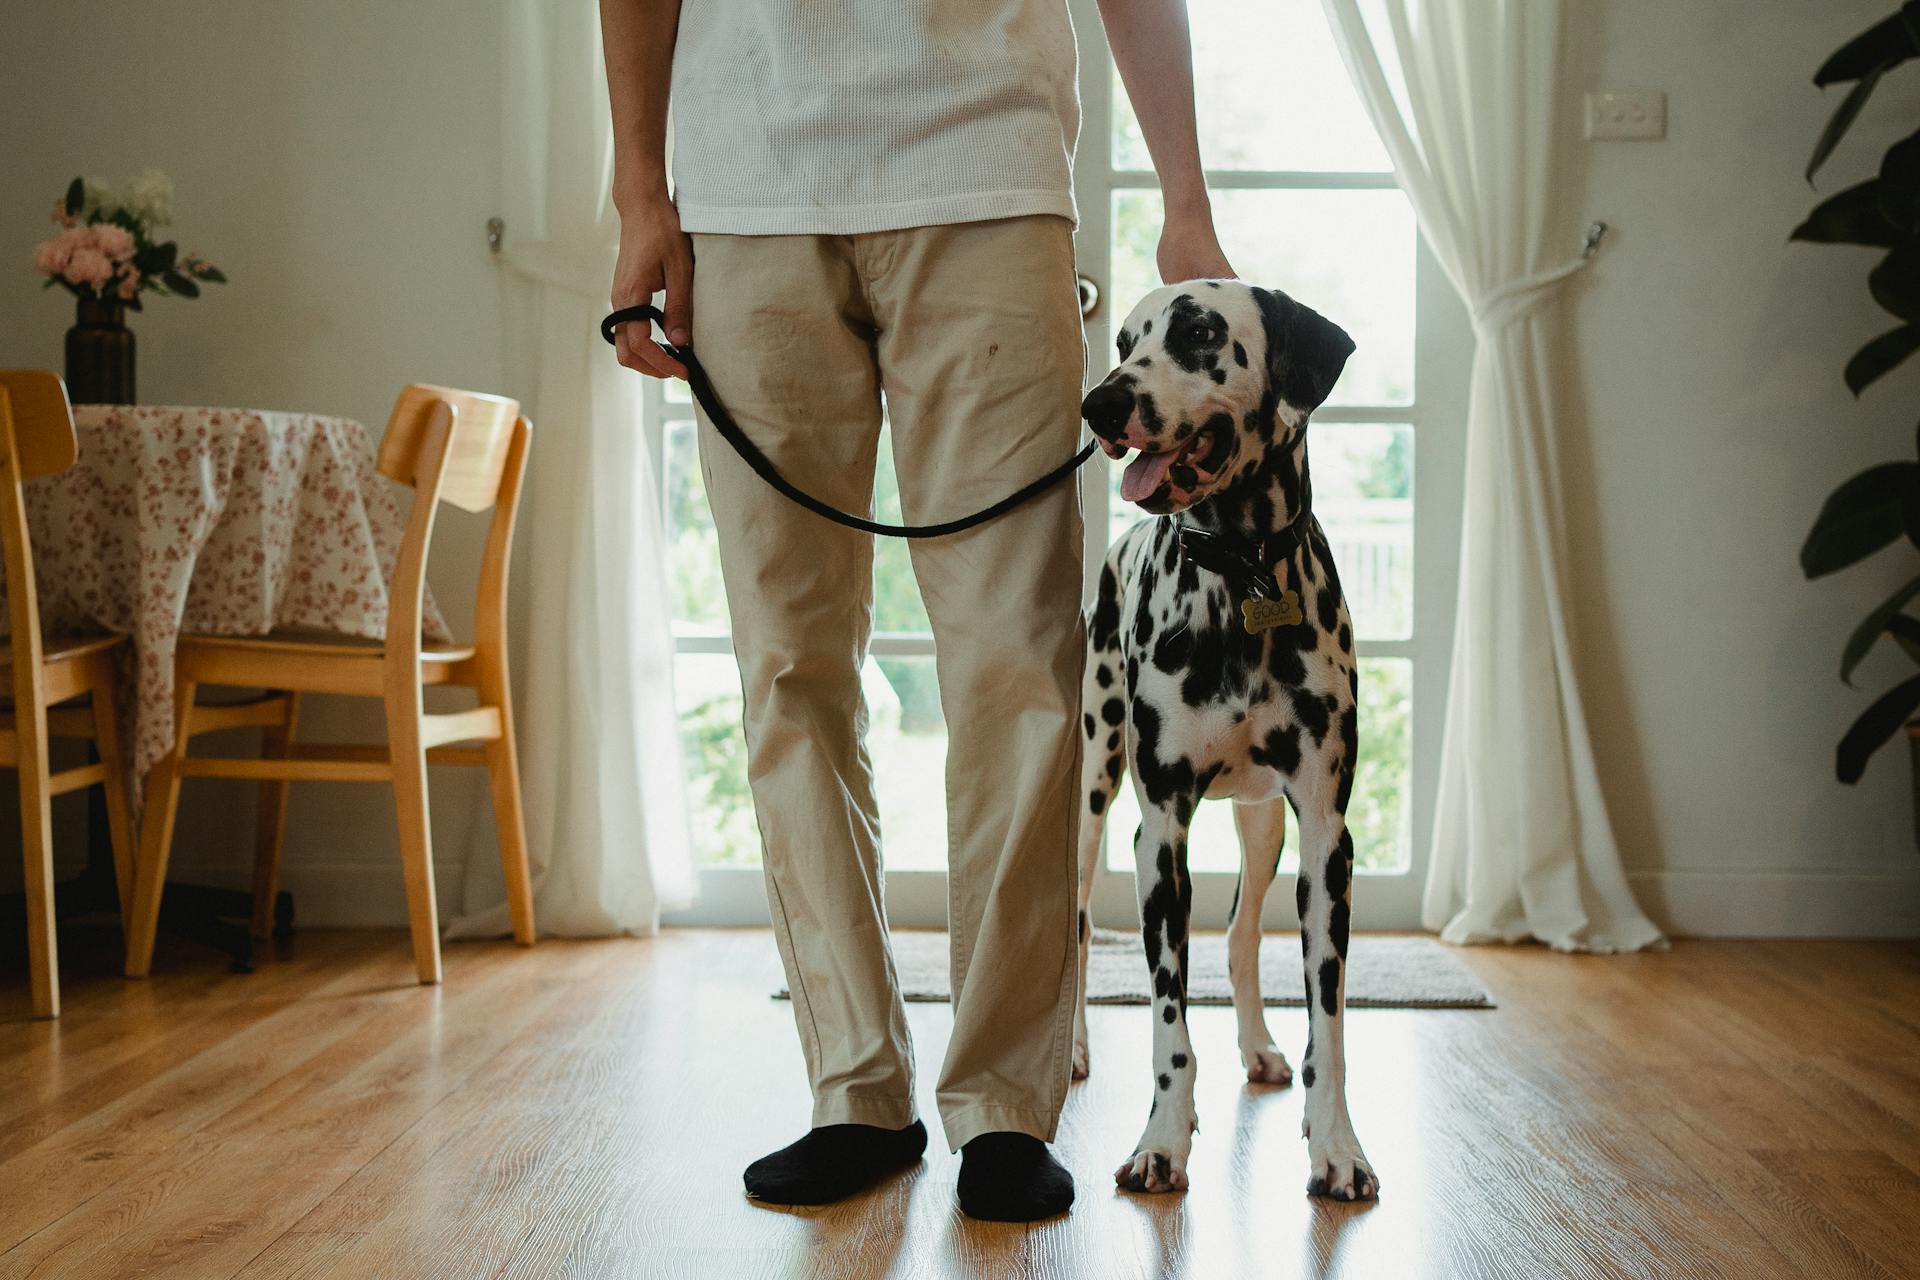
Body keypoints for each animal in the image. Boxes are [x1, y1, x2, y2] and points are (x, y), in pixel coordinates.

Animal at [1067, 278, 1382, 1205]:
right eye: (1127, 341)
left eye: (1201, 332)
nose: (1102, 402)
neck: (1242, 578)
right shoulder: (1160, 834)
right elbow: (1169, 1026)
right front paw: (1162, 1142)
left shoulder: (1326, 840)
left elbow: (1329, 1026)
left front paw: (1336, 1145)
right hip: (1091, 790)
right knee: (1073, 922)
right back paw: (1073, 1050)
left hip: (1263, 823)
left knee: (1242, 938)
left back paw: (1256, 1046)